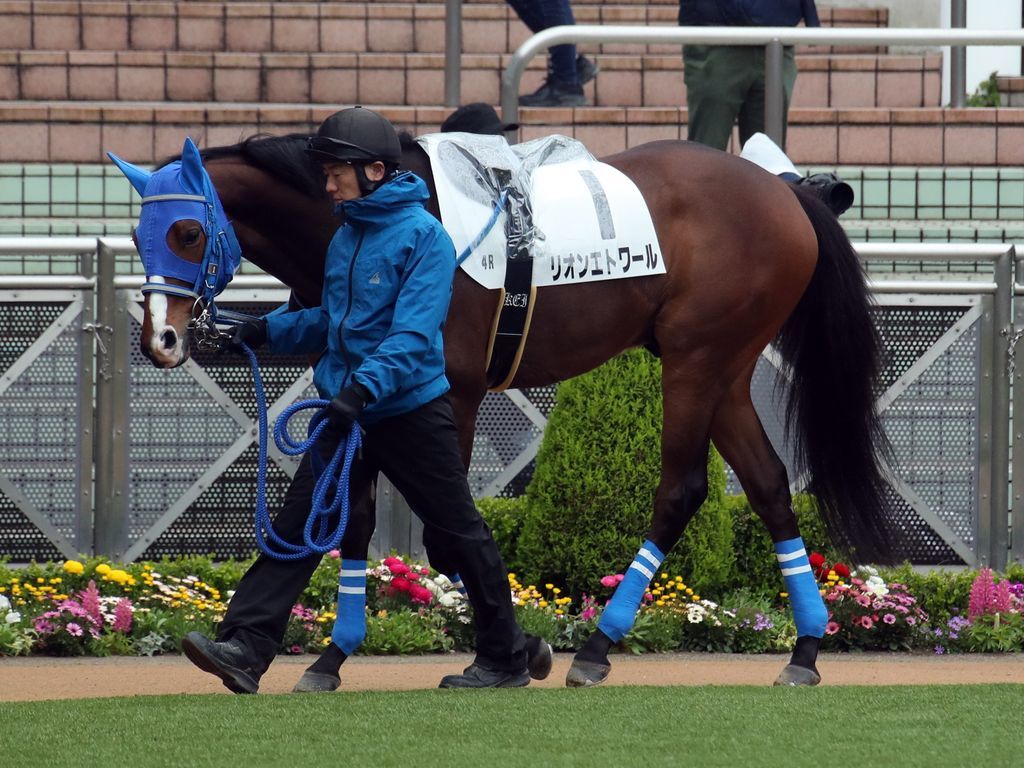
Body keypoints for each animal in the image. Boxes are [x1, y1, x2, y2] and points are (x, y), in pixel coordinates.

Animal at [110, 131, 894, 689]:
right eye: (138, 237)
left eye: (186, 234)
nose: (162, 340)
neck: (383, 216)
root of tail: (785, 192)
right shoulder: (362, 393)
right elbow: (350, 521)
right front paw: (323, 656)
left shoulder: (451, 391)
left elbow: (447, 537)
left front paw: (513, 650)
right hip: (725, 371)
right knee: (768, 487)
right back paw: (805, 649)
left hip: (696, 361)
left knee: (682, 490)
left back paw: (598, 647)